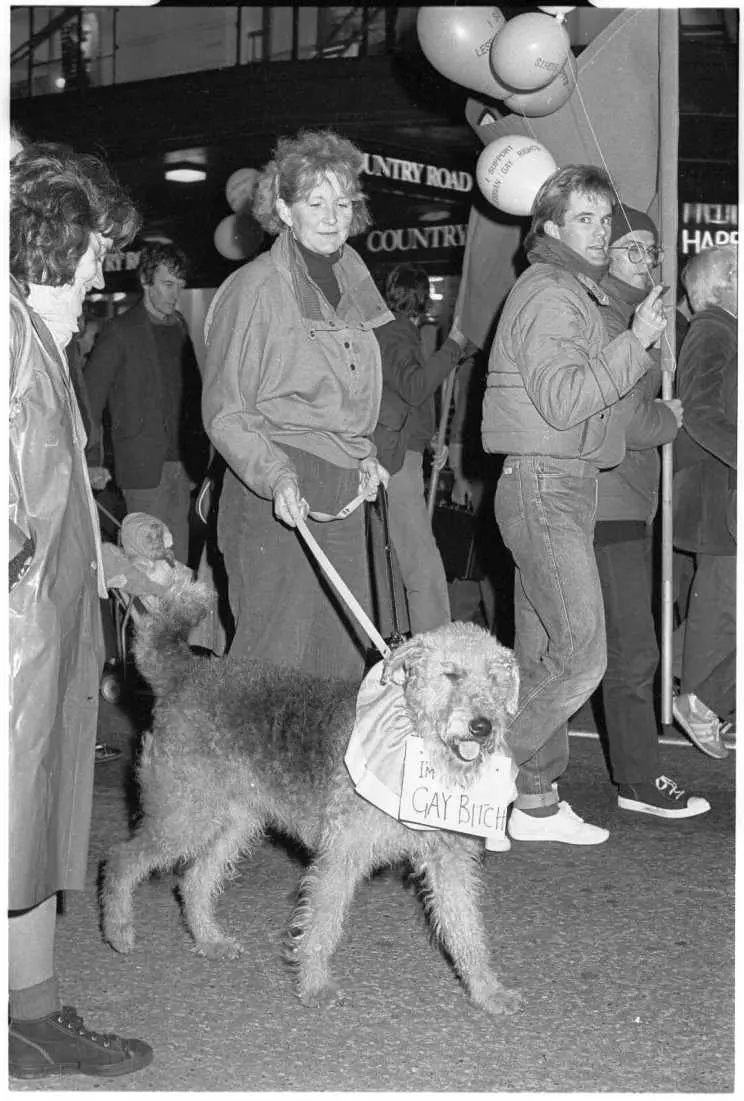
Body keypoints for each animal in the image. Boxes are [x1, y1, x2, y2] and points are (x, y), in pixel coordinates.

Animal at [100, 581, 523, 1017]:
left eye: (496, 679)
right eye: (451, 674)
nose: (482, 726)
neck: (413, 740)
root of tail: (184, 674)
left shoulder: (448, 860)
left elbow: (467, 929)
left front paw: (489, 992)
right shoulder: (342, 854)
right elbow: (322, 925)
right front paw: (316, 987)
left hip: (233, 822)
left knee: (194, 881)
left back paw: (210, 941)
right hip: (185, 815)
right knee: (121, 859)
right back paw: (119, 931)